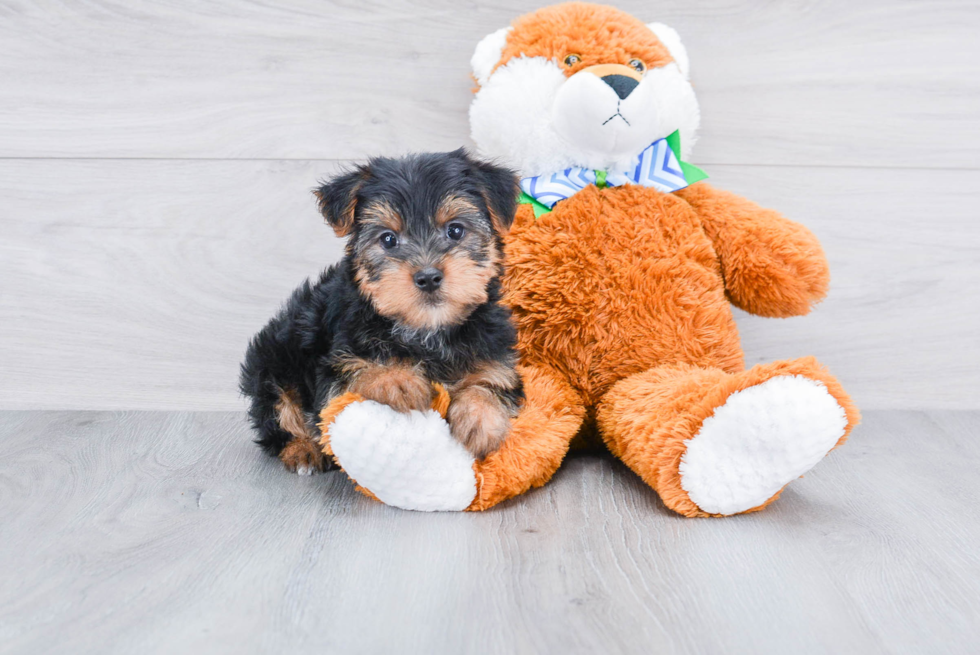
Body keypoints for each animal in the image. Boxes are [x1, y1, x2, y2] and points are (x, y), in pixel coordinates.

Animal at [240, 151, 524, 474]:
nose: (428, 277)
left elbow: (492, 381)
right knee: (280, 411)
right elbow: (356, 370)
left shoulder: (496, 355)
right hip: (271, 360)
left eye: (455, 230)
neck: (427, 330)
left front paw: (480, 419)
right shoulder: (335, 360)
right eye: (388, 239)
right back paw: (302, 450)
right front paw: (396, 379)